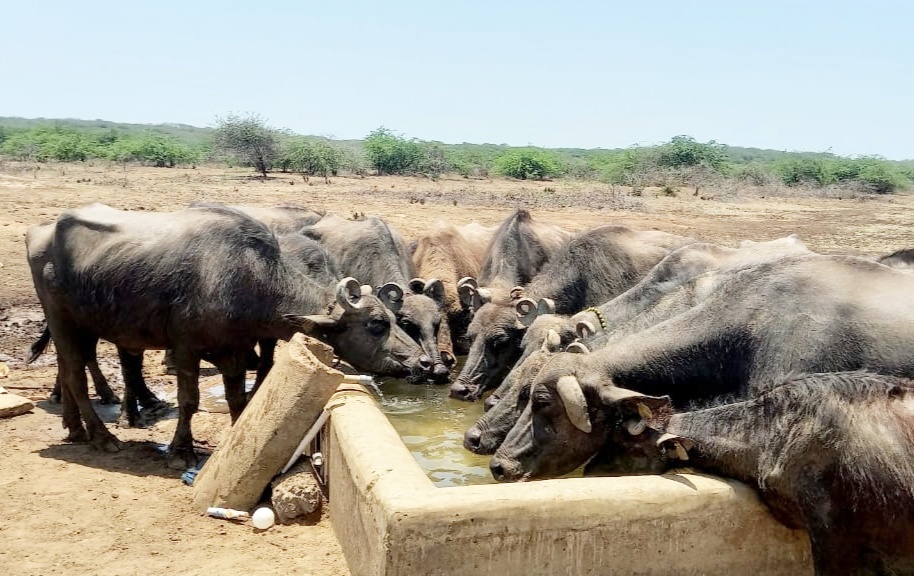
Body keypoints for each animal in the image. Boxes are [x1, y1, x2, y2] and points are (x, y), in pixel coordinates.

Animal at [25, 205, 432, 466]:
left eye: (396, 319)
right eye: (377, 323)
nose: (425, 362)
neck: (247, 277)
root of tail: (41, 232)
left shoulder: (236, 351)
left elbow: (239, 400)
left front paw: (239, 436)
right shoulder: (186, 349)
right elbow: (188, 402)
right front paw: (181, 452)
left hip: (80, 326)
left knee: (68, 370)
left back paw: (75, 428)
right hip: (63, 322)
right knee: (77, 376)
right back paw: (103, 437)